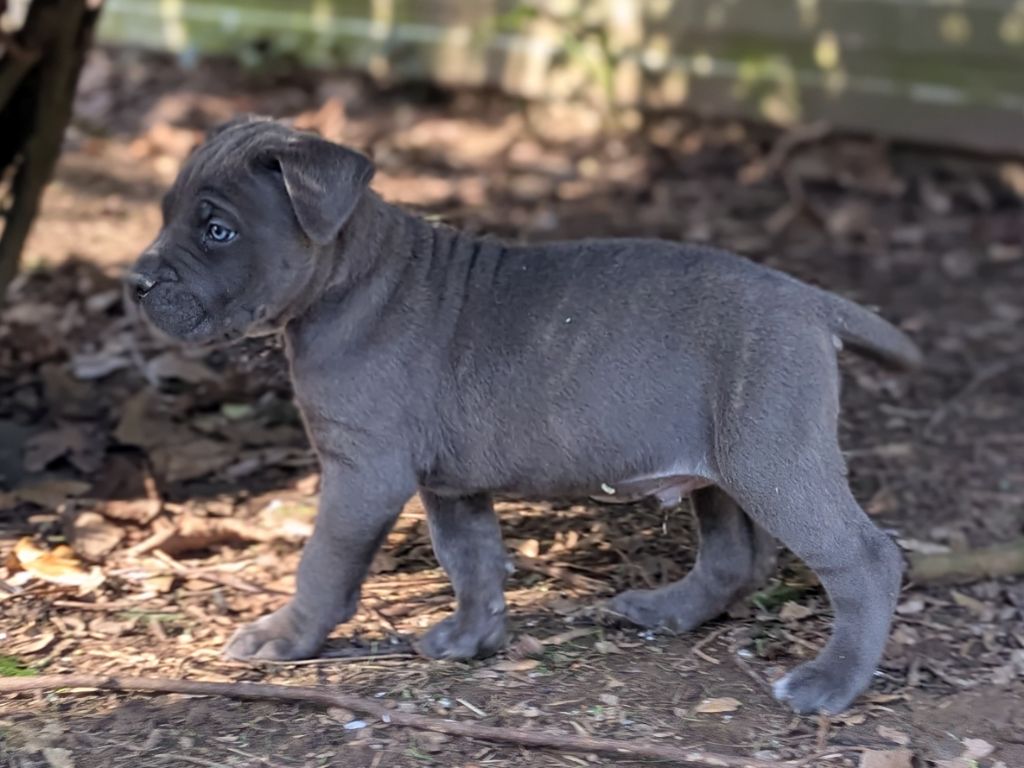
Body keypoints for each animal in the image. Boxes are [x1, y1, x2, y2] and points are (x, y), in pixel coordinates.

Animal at [128, 116, 921, 715]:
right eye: (165, 215)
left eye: (219, 231)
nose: (134, 281)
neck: (351, 278)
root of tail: (809, 299)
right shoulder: (448, 484)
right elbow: (471, 559)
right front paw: (471, 641)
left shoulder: (363, 473)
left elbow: (323, 563)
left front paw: (285, 638)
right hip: (723, 463)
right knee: (736, 557)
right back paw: (666, 612)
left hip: (772, 457)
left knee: (865, 559)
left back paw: (828, 684)